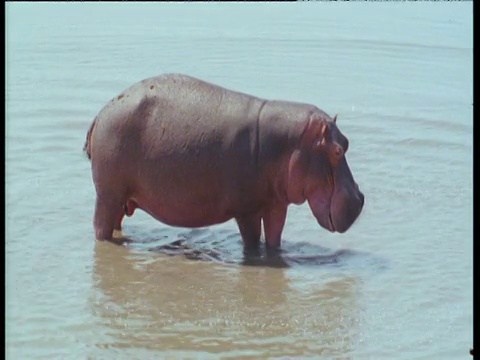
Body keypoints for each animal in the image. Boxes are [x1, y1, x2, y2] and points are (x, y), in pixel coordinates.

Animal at [85, 73, 364, 248]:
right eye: (337, 151)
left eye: (348, 142)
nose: (361, 199)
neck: (289, 143)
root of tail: (101, 113)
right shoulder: (247, 211)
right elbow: (253, 245)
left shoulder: (276, 205)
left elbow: (274, 241)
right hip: (107, 195)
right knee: (100, 229)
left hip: (120, 198)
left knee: (116, 224)